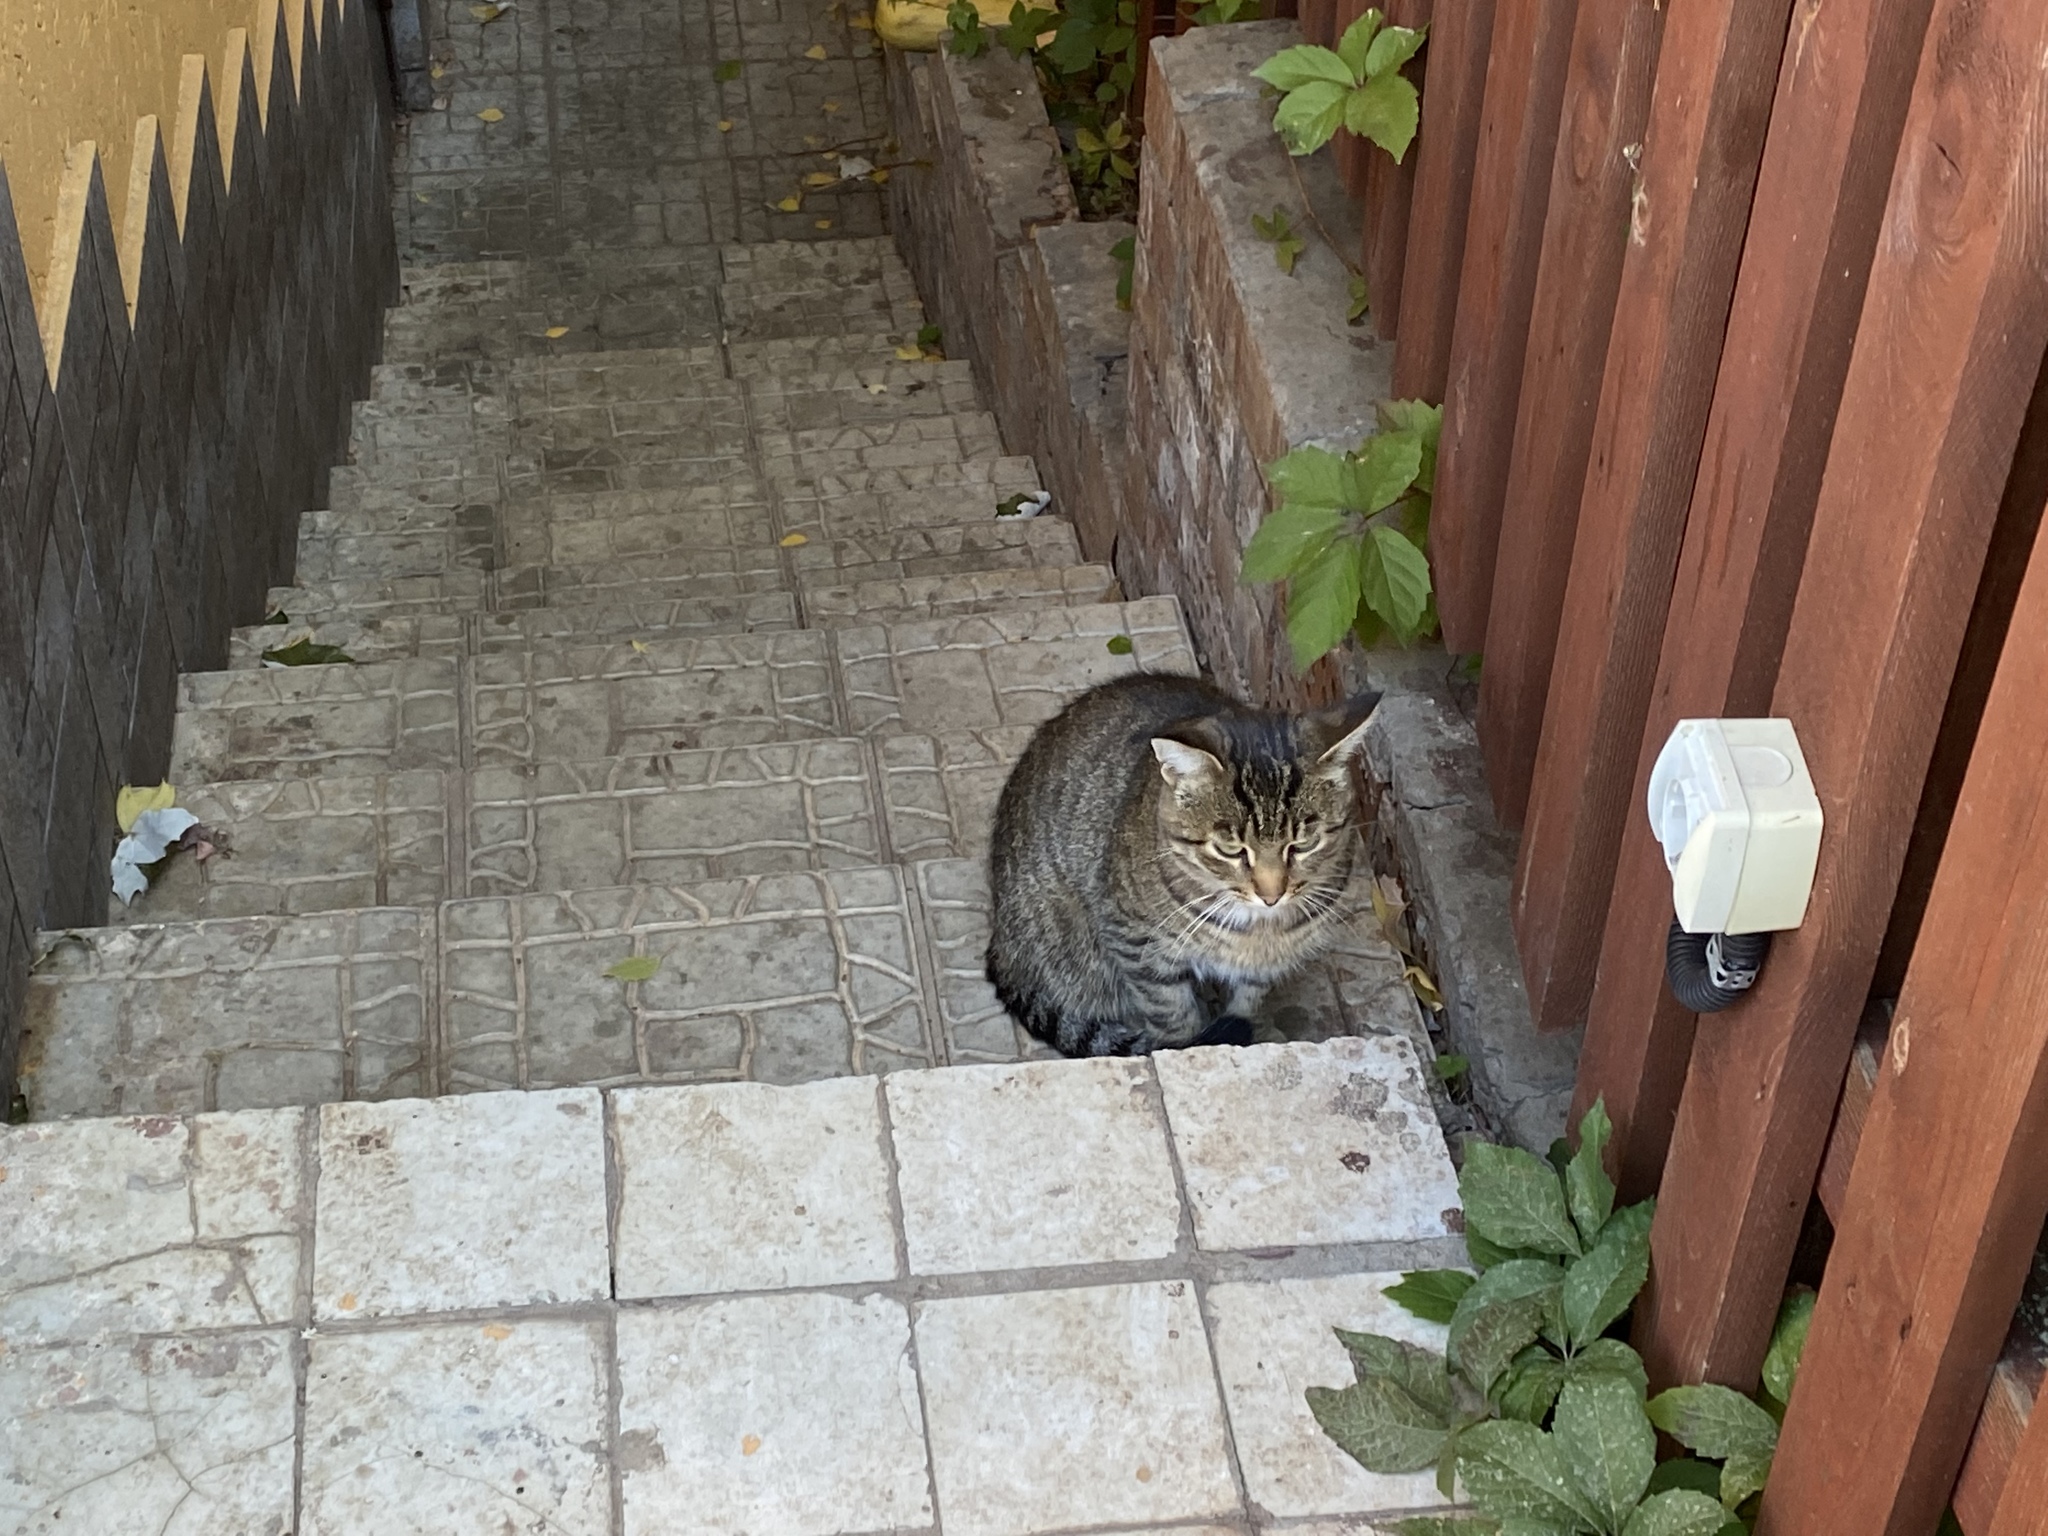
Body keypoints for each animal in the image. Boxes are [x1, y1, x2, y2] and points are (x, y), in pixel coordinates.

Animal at [987, 671, 1384, 1056]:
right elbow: (1171, 1013)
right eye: (1229, 848)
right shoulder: (1134, 939)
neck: (1258, 931)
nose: (1271, 896)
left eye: (1303, 844)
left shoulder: (1264, 965)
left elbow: (1249, 998)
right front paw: (1190, 1046)